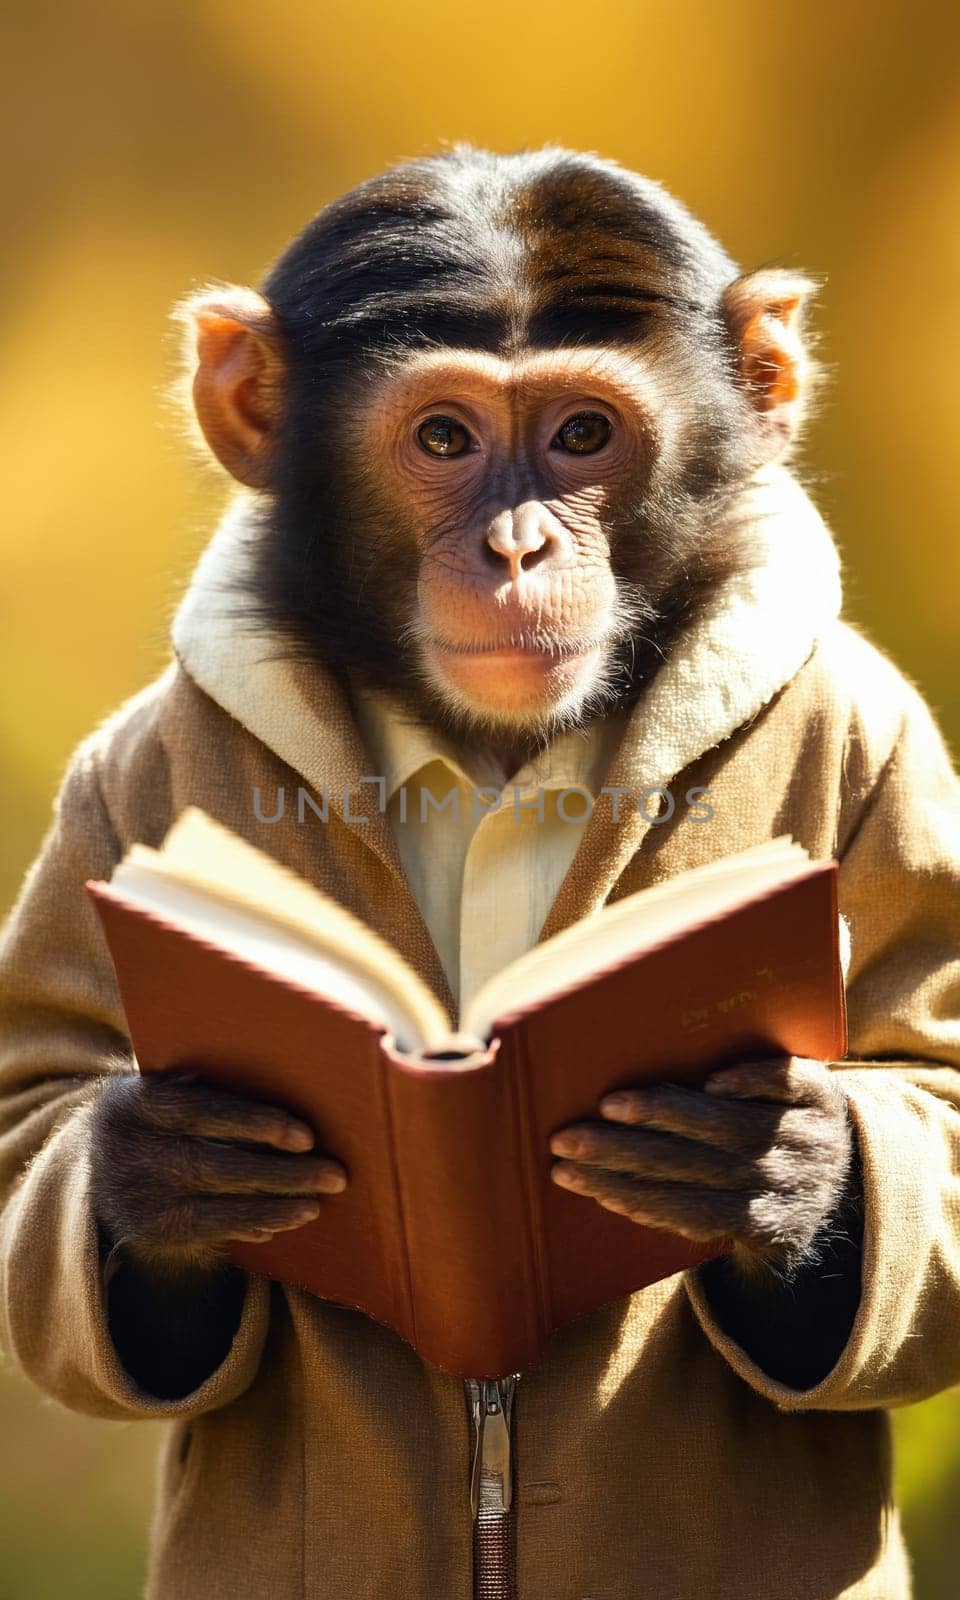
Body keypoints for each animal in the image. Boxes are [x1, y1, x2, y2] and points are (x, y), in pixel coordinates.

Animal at [3, 147, 953, 1600]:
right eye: (445, 440)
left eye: (583, 437)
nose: (516, 547)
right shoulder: (113, 777)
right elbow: (37, 1099)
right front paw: (166, 1169)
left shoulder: (889, 738)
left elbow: (933, 1085)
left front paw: (774, 1166)